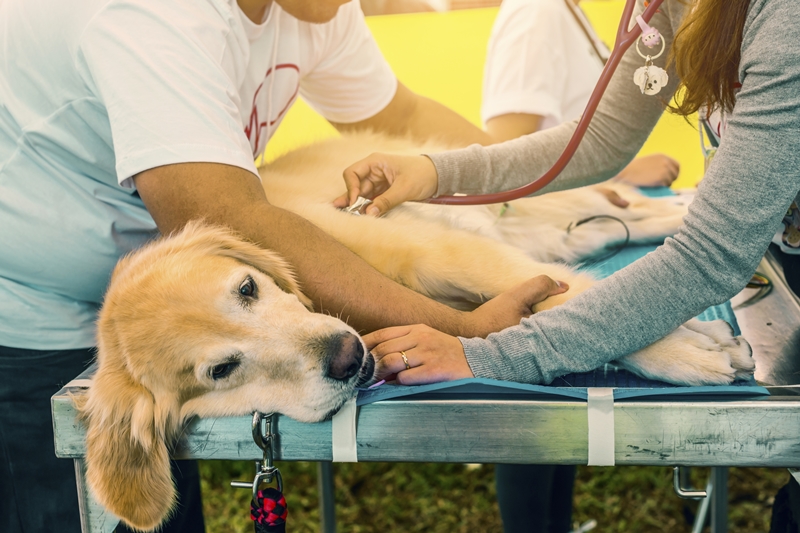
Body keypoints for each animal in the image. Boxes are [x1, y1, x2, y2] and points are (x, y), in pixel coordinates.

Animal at [73, 132, 752, 528]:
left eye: (247, 289)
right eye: (221, 370)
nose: (347, 356)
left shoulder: (440, 254)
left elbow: (576, 302)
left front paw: (684, 352)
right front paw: (687, 347)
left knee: (618, 214)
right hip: (535, 230)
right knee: (607, 232)